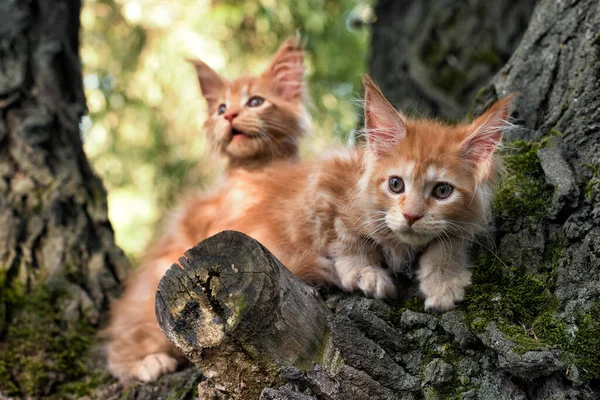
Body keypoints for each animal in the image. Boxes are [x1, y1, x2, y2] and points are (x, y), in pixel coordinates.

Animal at [103, 38, 310, 384]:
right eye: (221, 109)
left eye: (255, 101)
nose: (230, 116)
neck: (257, 172)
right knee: (119, 351)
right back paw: (147, 363)